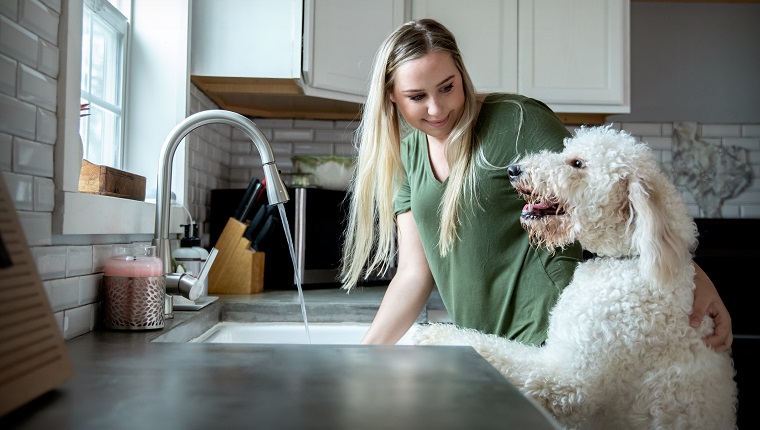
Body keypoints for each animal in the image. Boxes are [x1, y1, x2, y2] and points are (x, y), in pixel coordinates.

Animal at [416, 126, 736, 428]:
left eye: (578, 163)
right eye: (568, 153)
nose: (513, 170)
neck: (625, 260)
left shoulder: (569, 379)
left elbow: (491, 348)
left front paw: (434, 334)